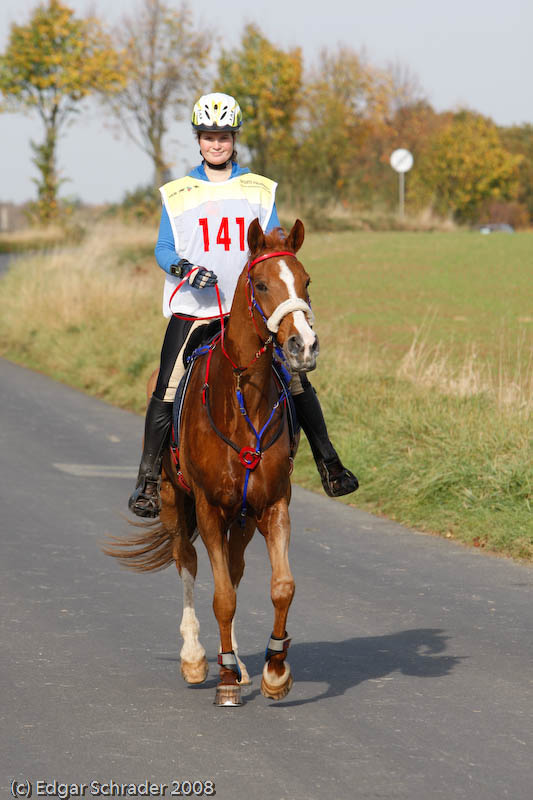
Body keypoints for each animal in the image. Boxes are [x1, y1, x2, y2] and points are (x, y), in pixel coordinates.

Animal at [106, 219, 318, 708]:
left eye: (306, 283)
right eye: (261, 284)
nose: (303, 347)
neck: (243, 403)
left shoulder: (272, 506)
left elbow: (280, 587)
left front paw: (274, 670)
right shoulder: (206, 508)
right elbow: (221, 596)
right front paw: (221, 678)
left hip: (241, 520)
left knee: (234, 571)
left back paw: (237, 661)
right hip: (174, 503)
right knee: (187, 562)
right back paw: (197, 658)